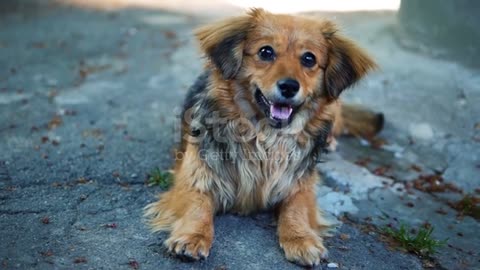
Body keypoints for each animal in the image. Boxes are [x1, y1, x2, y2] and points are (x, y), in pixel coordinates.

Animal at [144, 7, 384, 266]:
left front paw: (301, 238)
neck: (265, 137)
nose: (289, 86)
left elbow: (296, 209)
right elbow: (197, 205)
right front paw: (192, 236)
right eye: (266, 52)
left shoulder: (301, 185)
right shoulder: (195, 176)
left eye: (309, 59)